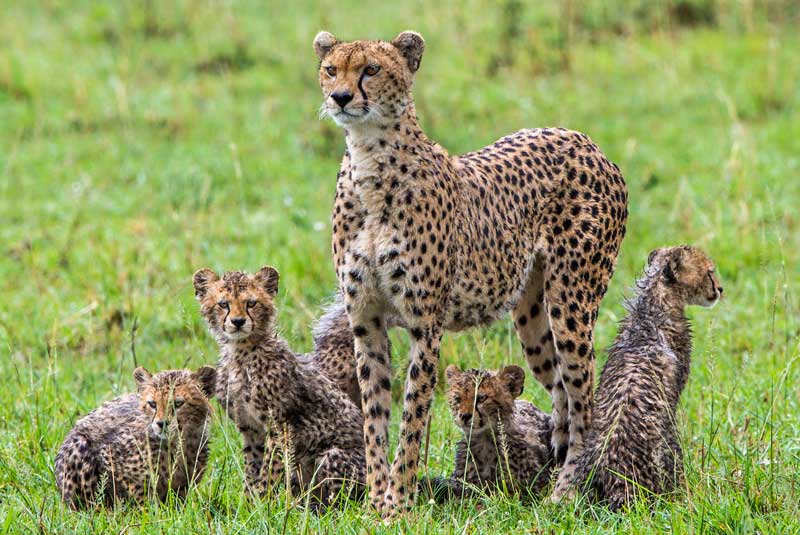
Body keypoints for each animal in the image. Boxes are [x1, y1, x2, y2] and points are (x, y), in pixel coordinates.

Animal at [55, 366, 216, 509]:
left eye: (178, 403)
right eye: (152, 404)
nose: (161, 424)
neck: (178, 441)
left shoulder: (184, 483)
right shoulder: (110, 455)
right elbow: (141, 496)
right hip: (79, 447)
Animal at [193, 266, 365, 508]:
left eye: (251, 303)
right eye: (223, 304)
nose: (238, 321)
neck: (240, 353)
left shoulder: (280, 426)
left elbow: (270, 470)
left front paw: (264, 505)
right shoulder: (250, 428)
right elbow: (253, 469)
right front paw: (249, 505)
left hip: (332, 456)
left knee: (340, 501)